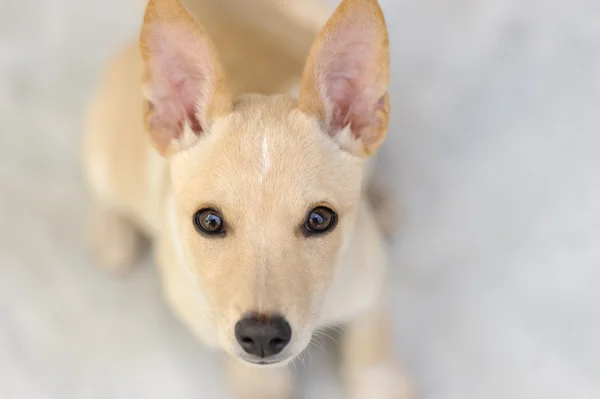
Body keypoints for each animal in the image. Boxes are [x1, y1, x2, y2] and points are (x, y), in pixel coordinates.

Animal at [82, 0, 410, 396]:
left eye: (320, 219)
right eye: (209, 221)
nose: (263, 336)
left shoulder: (371, 282)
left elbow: (371, 346)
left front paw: (382, 382)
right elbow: (256, 374)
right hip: (106, 155)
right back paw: (111, 232)